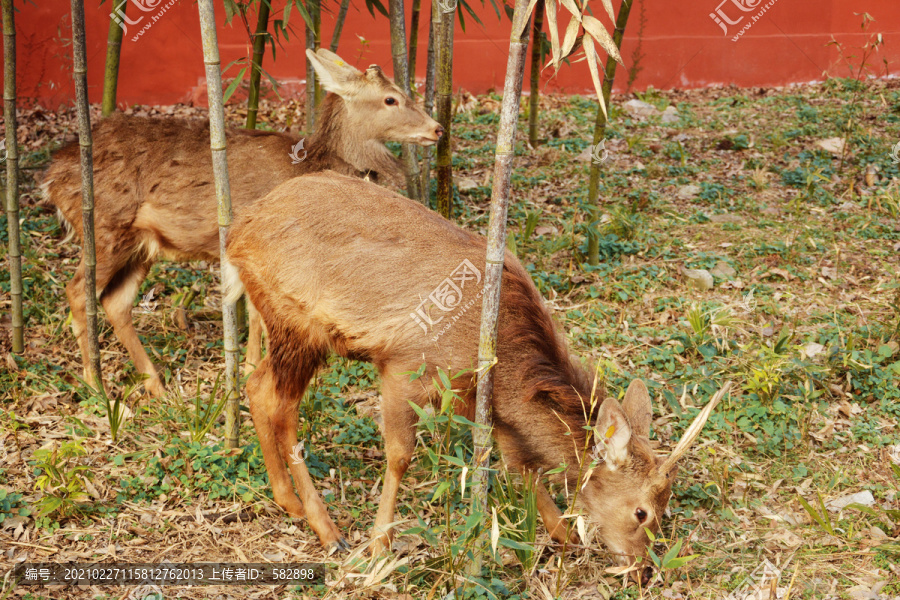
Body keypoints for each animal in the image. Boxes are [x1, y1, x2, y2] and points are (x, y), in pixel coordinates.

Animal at [42, 49, 442, 396]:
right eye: (391, 99)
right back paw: (96, 384)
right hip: (105, 229)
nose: (437, 129)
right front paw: (250, 370)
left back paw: (155, 385)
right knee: (78, 292)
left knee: (115, 302)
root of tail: (51, 178)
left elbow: (252, 311)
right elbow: (256, 313)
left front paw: (245, 370)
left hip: (142, 244)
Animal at [223, 172, 724, 584]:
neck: (507, 357)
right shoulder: (405, 366)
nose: (644, 570)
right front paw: (380, 546)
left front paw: (562, 535)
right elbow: (400, 456)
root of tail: (236, 234)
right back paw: (327, 529)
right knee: (280, 405)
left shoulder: (486, 400)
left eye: (666, 505)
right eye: (642, 512)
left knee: (255, 385)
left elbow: (519, 463)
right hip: (296, 321)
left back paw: (287, 501)